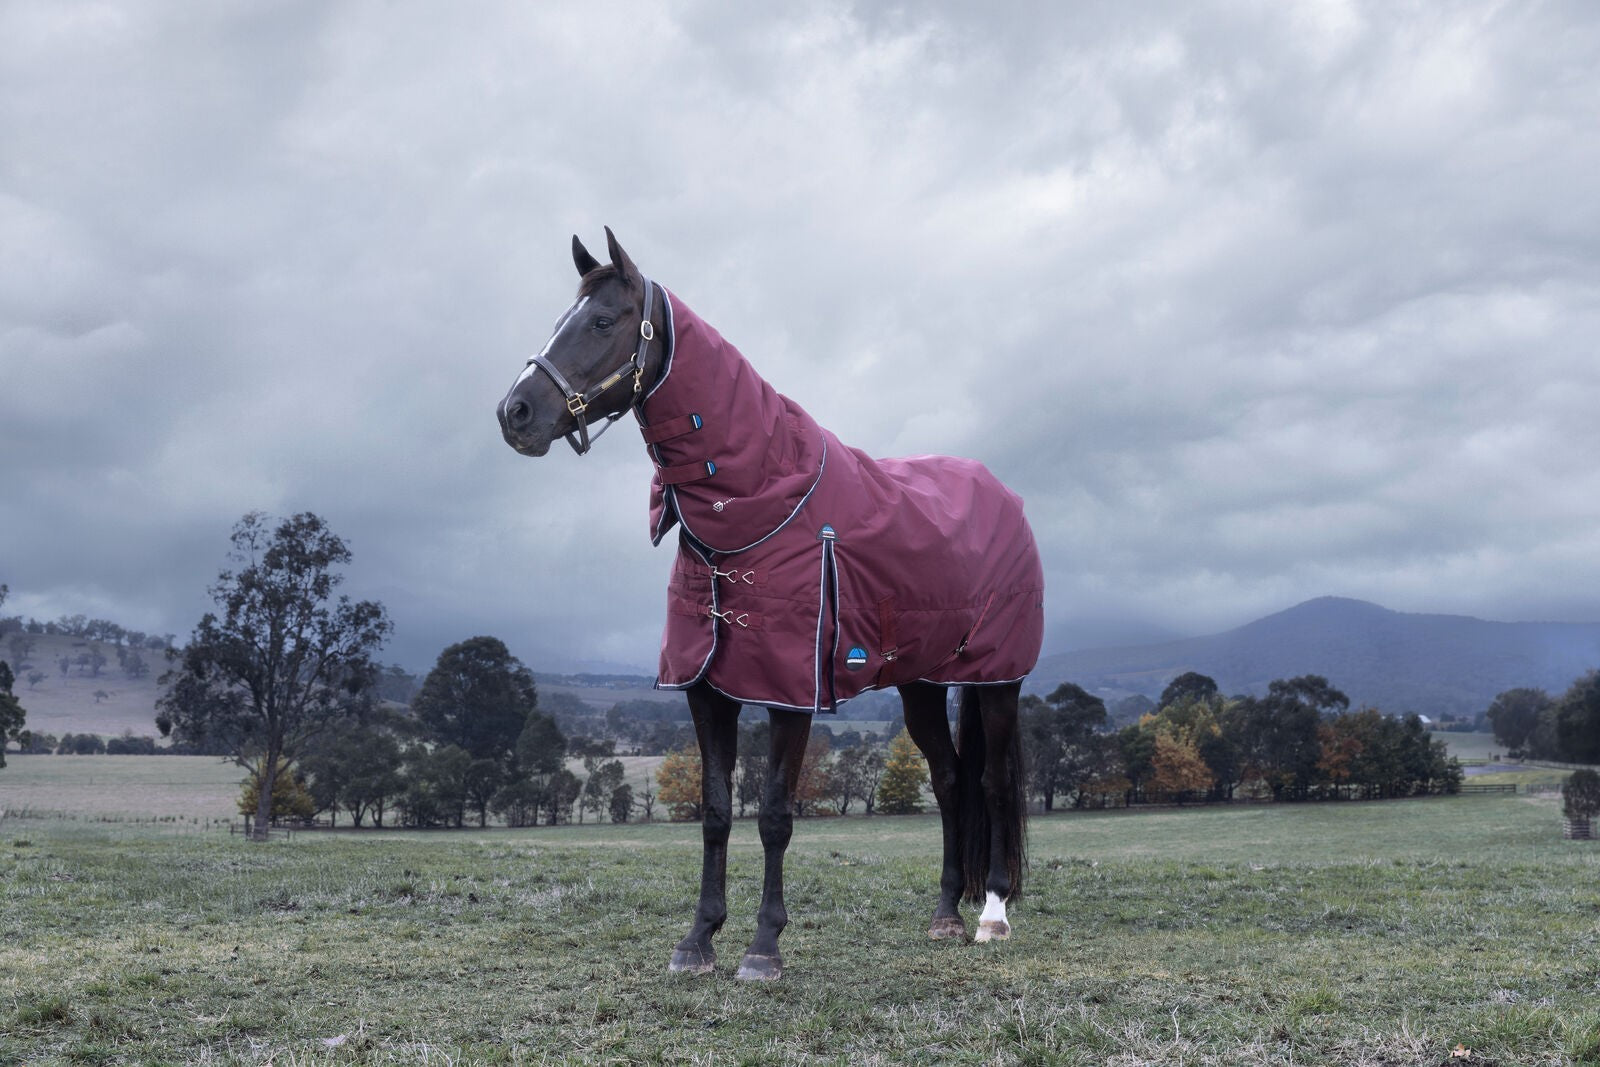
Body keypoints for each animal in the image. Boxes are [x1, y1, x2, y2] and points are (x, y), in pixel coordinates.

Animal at [497, 229, 1045, 980]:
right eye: (562, 318)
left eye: (603, 321)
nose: (514, 414)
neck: (759, 504)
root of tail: (1002, 497)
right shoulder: (706, 688)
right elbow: (715, 811)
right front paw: (698, 938)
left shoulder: (790, 692)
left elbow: (777, 815)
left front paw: (763, 947)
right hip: (922, 685)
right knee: (951, 780)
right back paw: (943, 917)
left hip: (997, 679)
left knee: (990, 782)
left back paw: (991, 914)